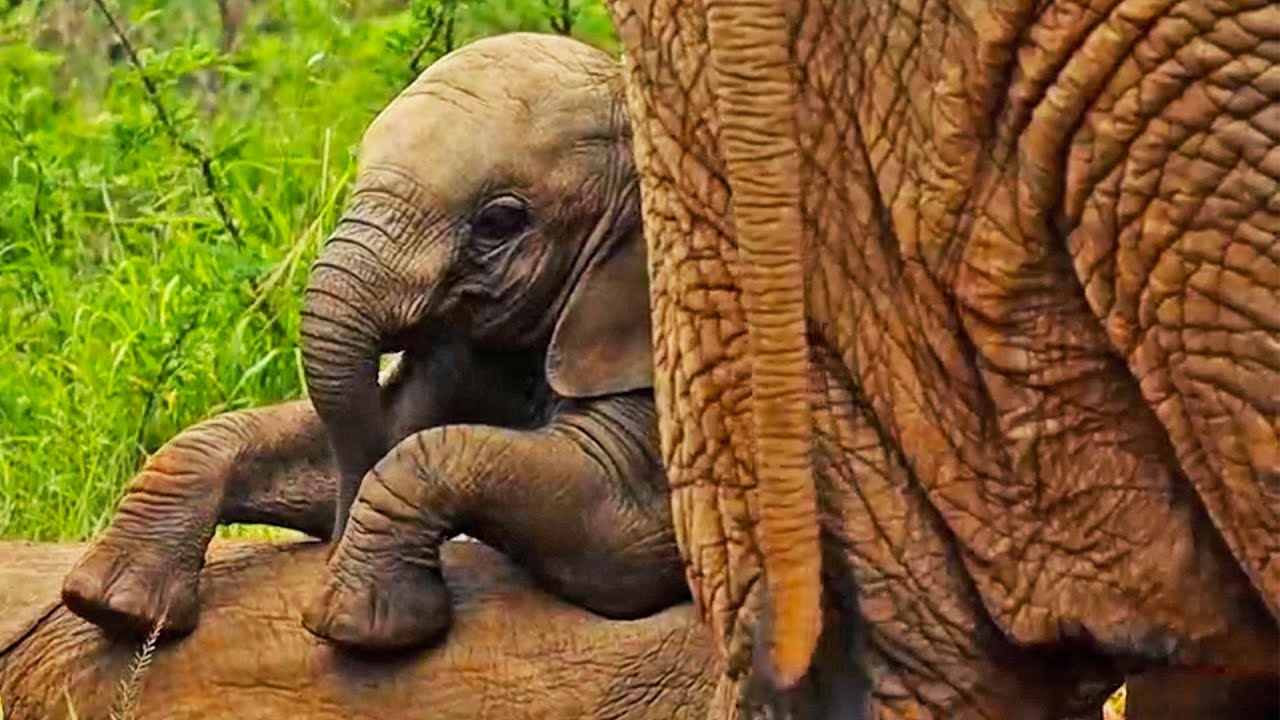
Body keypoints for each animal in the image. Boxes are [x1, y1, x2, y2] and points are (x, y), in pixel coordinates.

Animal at [60, 32, 688, 652]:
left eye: (500, 222)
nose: (331, 547)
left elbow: (620, 536)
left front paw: (362, 624)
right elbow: (360, 433)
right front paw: (112, 604)